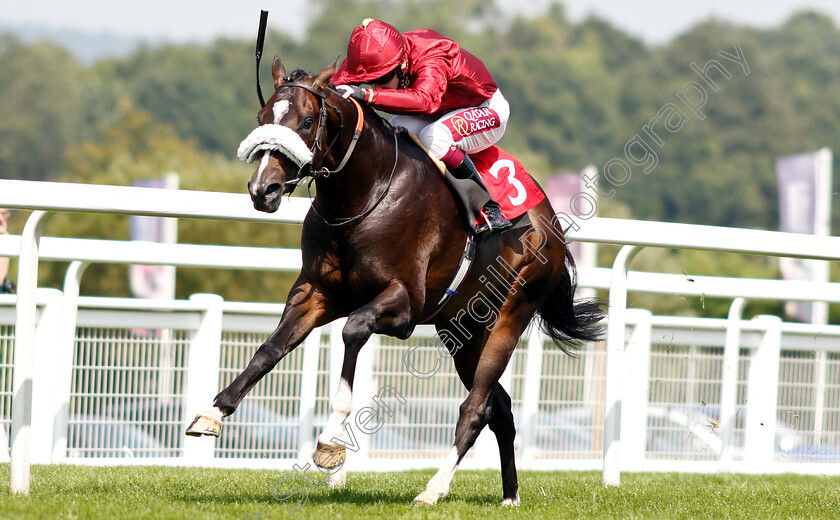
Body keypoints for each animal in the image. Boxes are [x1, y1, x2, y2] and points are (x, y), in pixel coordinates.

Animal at [187, 58, 604, 508]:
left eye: (308, 121)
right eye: (262, 118)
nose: (263, 188)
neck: (362, 195)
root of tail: (551, 221)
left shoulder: (404, 304)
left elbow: (353, 331)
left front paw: (330, 440)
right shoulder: (315, 293)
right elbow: (270, 349)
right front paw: (212, 412)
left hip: (511, 313)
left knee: (476, 408)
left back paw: (434, 489)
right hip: (464, 329)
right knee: (501, 409)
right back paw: (510, 496)